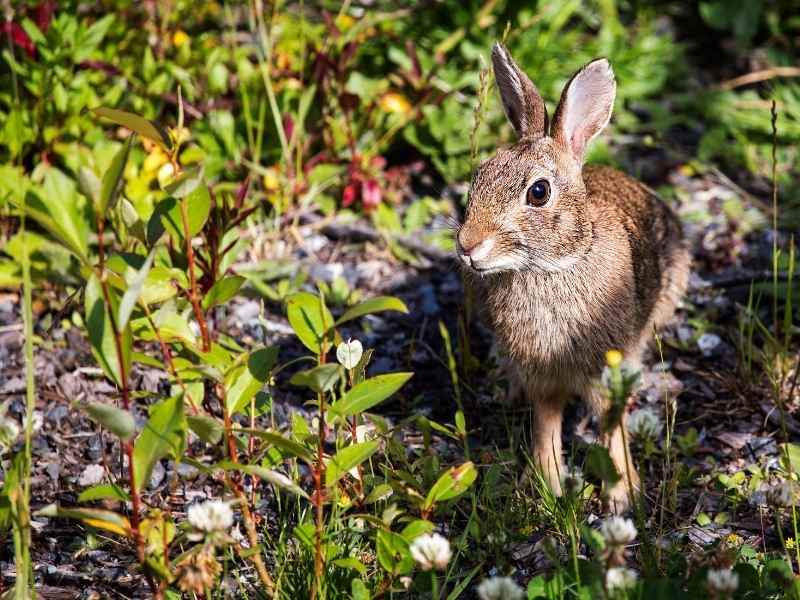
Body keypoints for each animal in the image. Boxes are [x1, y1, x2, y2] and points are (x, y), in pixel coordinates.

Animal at [460, 43, 692, 510]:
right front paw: (546, 484)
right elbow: (546, 426)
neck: (551, 266)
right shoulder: (541, 377)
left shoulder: (606, 369)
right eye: (479, 176)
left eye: (538, 192)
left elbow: (610, 425)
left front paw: (622, 495)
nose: (467, 244)